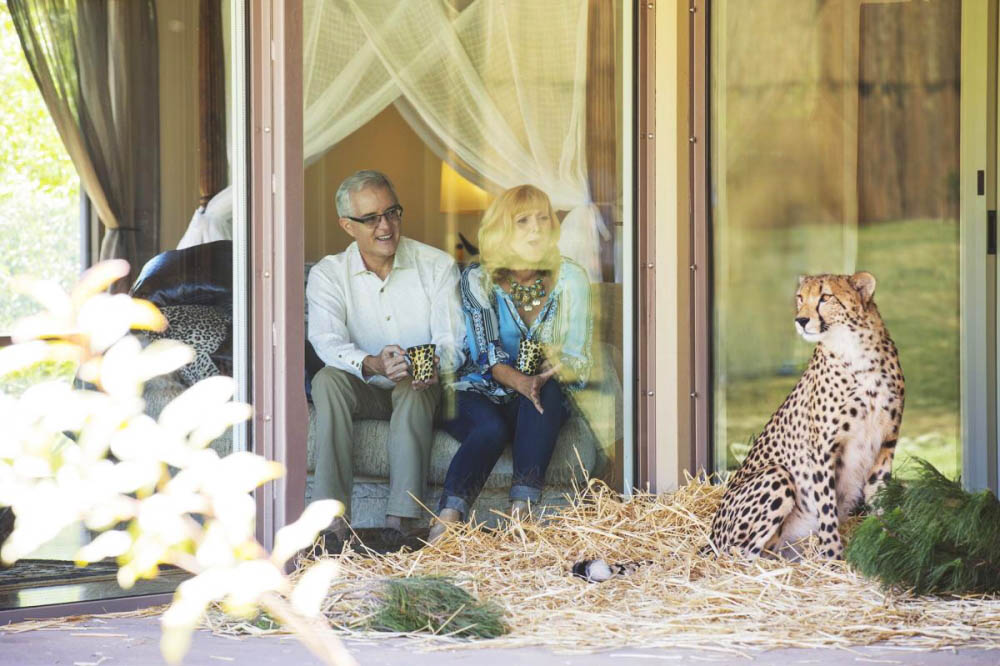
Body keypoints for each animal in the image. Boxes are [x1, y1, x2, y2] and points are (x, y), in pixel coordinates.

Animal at [572, 271, 904, 582]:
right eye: (800, 297)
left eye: (825, 297)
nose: (801, 320)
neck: (857, 354)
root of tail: (710, 538)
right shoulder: (822, 452)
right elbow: (827, 512)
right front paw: (834, 561)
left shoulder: (885, 447)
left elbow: (880, 504)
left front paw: (885, 553)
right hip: (775, 476)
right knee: (737, 556)